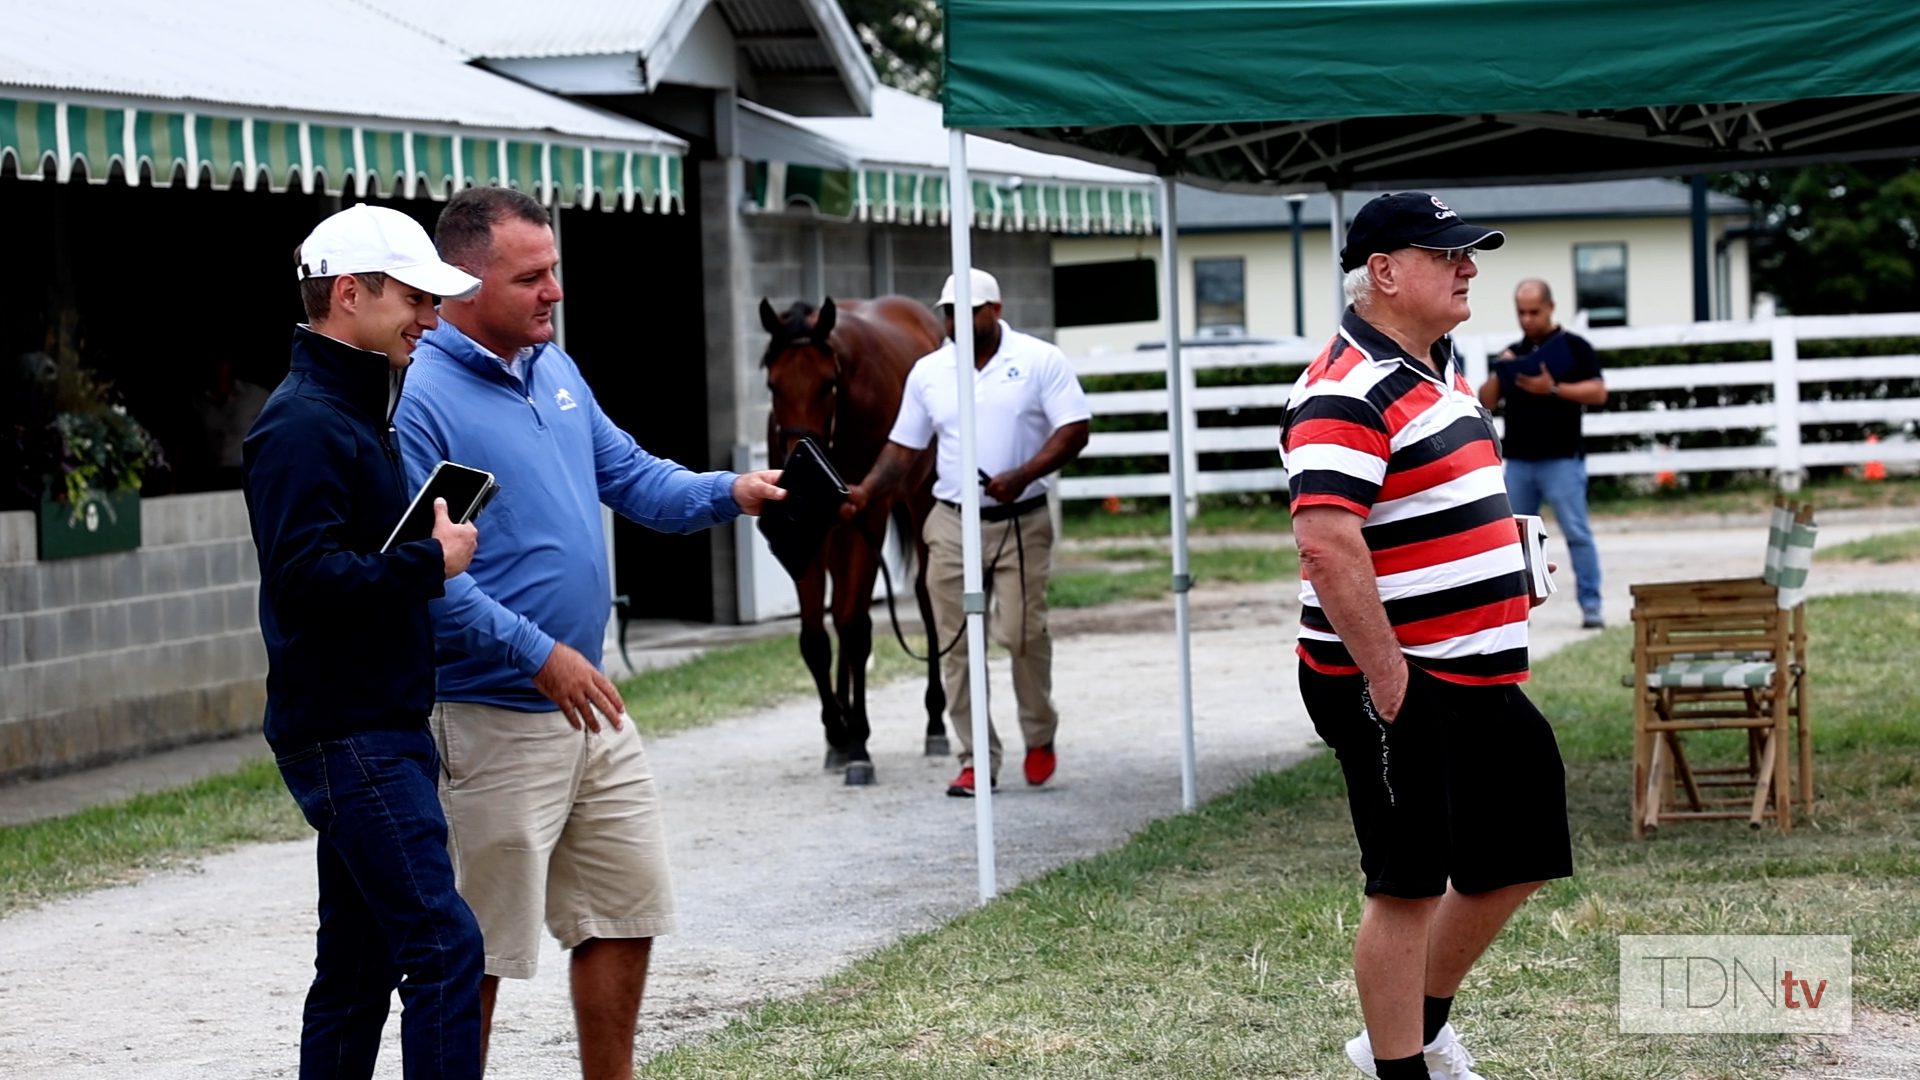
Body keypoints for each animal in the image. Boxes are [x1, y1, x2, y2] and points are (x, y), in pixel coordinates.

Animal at [760, 294, 948, 780]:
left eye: (828, 384)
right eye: (772, 384)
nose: (798, 457)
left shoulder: (867, 516)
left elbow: (854, 627)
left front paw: (859, 741)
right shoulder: (811, 533)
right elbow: (815, 637)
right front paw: (837, 732)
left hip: (921, 500)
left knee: (925, 598)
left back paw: (936, 722)